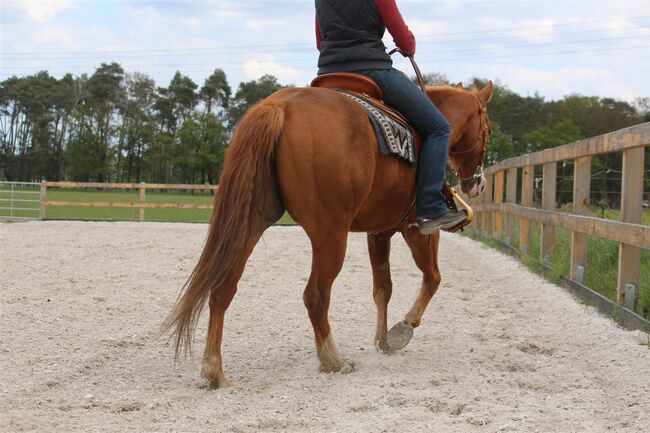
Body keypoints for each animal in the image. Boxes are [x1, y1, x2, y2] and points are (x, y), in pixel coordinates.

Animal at [163, 81, 492, 388]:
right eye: (486, 129)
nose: (477, 183)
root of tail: (280, 106)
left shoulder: (378, 233)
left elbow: (383, 288)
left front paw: (383, 341)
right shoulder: (419, 231)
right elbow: (432, 279)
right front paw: (403, 329)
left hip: (250, 222)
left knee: (222, 289)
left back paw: (214, 369)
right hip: (330, 235)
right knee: (316, 295)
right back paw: (333, 360)